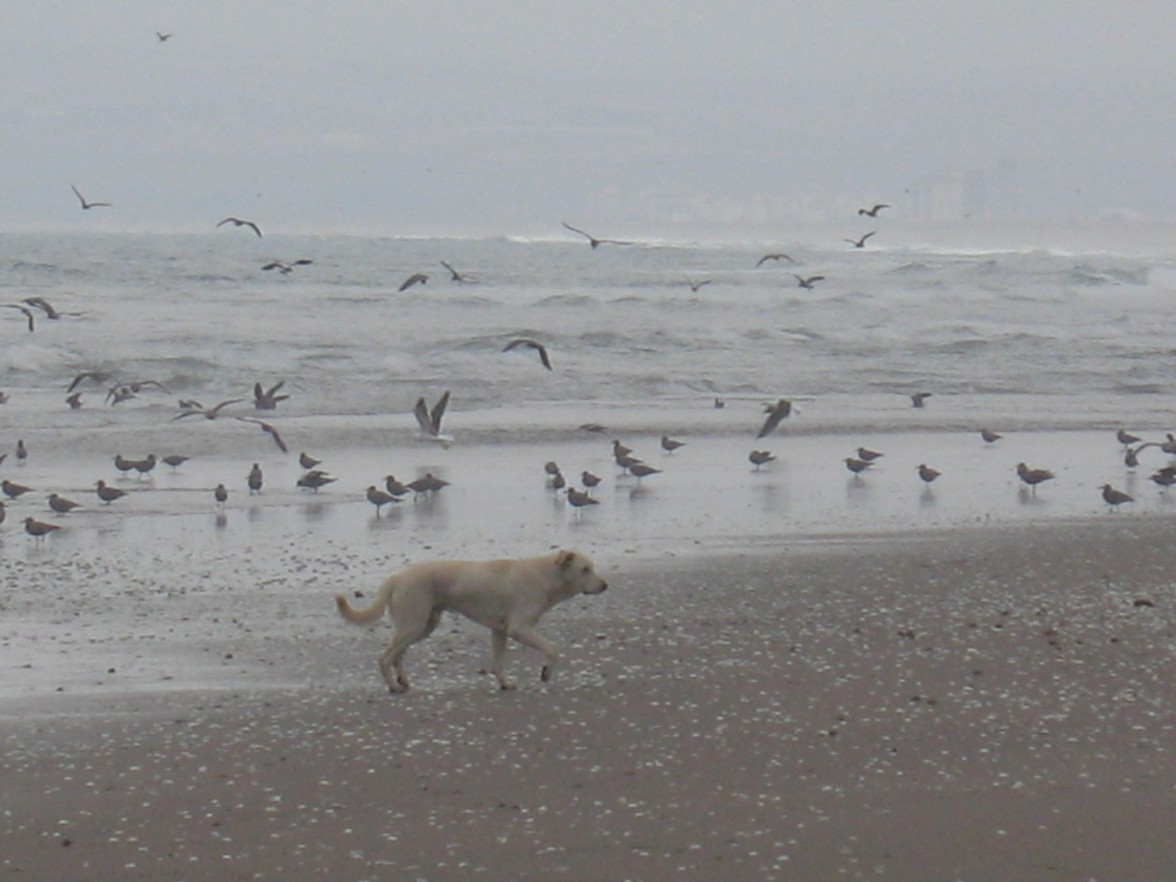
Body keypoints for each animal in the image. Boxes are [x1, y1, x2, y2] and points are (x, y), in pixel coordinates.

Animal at [331, 550, 606, 696]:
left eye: (592, 568)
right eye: (585, 569)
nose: (605, 585)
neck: (546, 575)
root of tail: (396, 577)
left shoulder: (500, 631)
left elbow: (498, 663)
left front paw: (504, 683)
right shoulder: (519, 629)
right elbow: (553, 648)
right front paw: (546, 672)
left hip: (422, 625)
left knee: (398, 655)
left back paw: (403, 682)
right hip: (413, 624)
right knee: (386, 657)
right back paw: (393, 686)